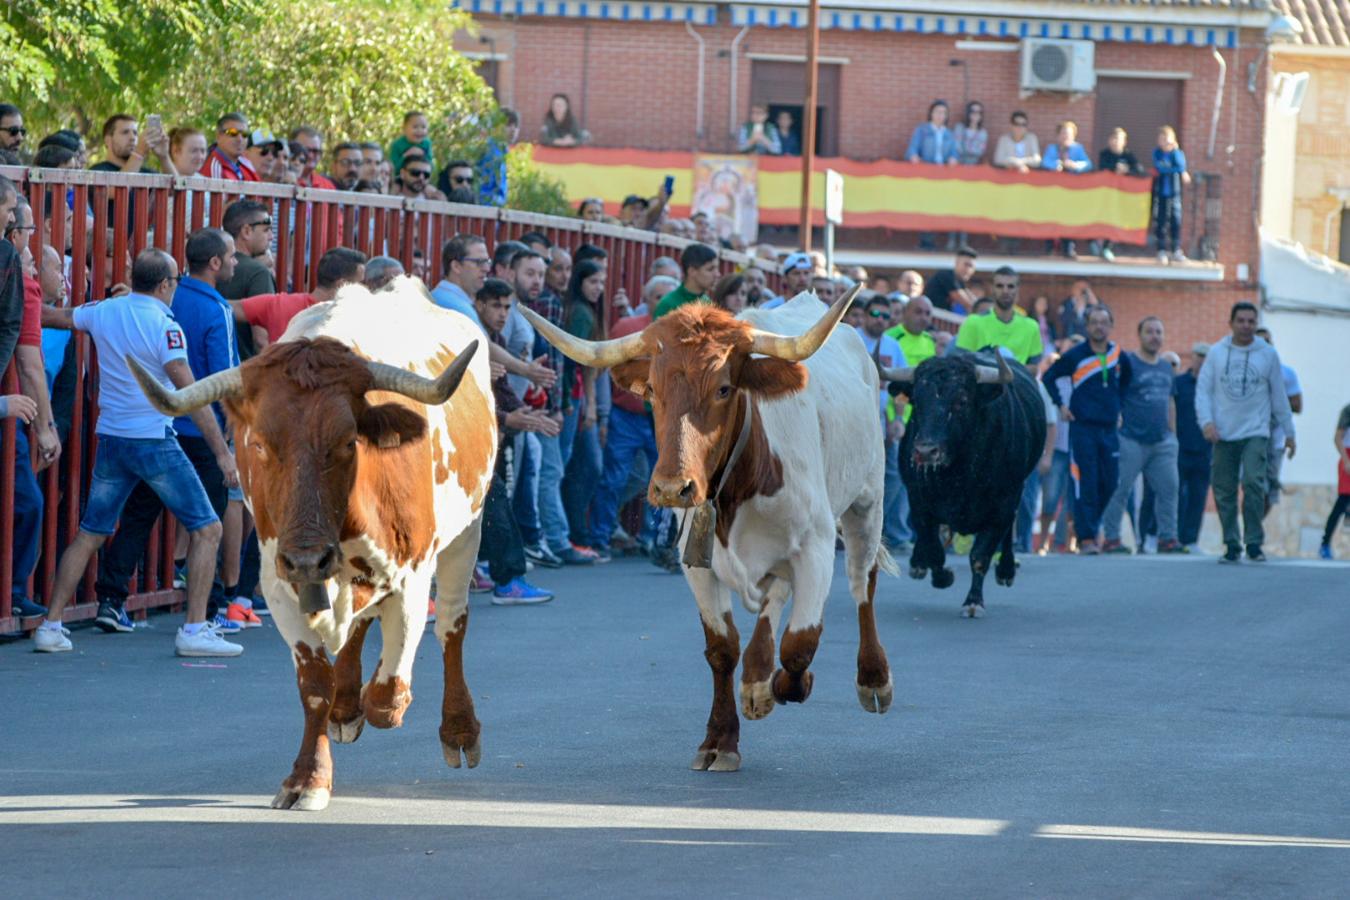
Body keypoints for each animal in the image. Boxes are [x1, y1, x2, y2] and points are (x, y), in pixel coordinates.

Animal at [891, 348, 1047, 615]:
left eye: (961, 401)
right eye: (917, 401)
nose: (925, 451)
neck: (959, 474)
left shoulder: (1002, 505)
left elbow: (980, 556)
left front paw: (974, 602)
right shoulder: (918, 501)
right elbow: (934, 549)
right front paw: (942, 576)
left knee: (1009, 532)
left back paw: (1006, 570)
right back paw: (918, 564)